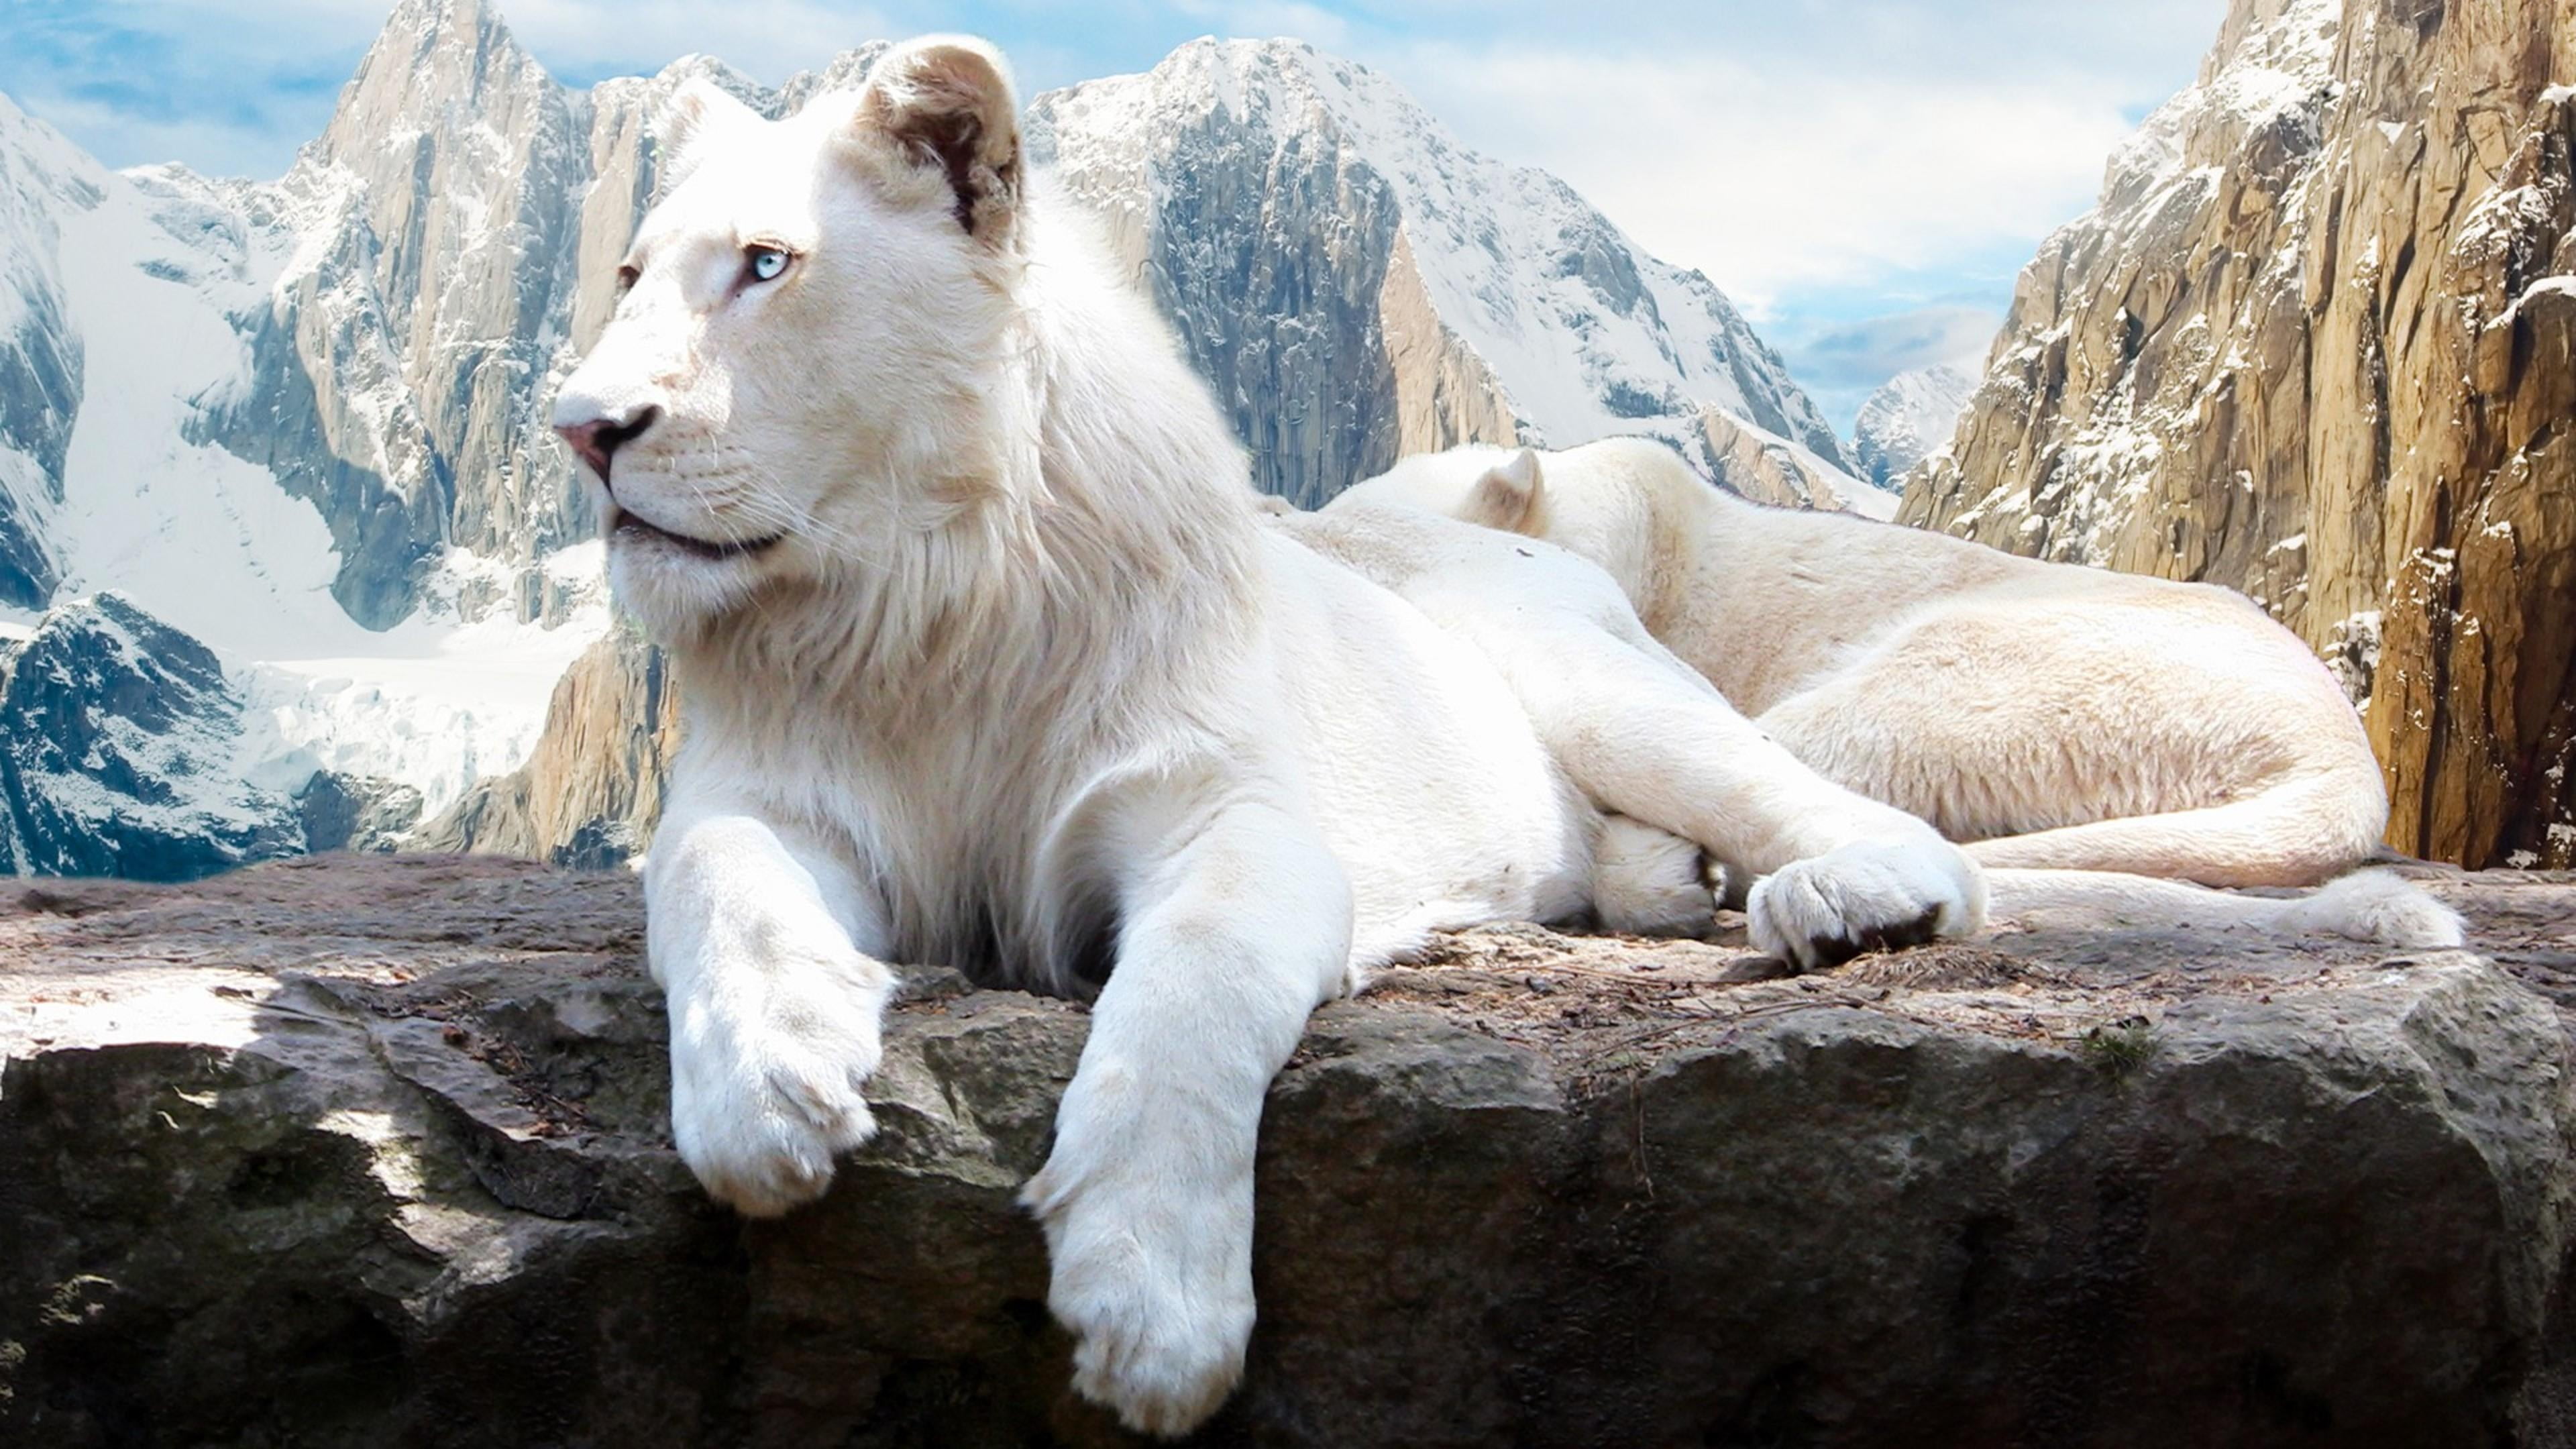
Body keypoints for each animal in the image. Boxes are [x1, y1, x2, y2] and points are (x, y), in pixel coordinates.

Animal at [545, 37, 2027, 1435]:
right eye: (627, 274)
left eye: (766, 265)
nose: (582, 431)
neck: (921, 605)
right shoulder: (770, 794)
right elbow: (720, 881)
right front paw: (769, 1090)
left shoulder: (1222, 808)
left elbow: (1192, 994)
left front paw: (1151, 1310)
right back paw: (1658, 886)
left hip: (1595, 686)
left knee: (1839, 811)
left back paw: (1849, 897)